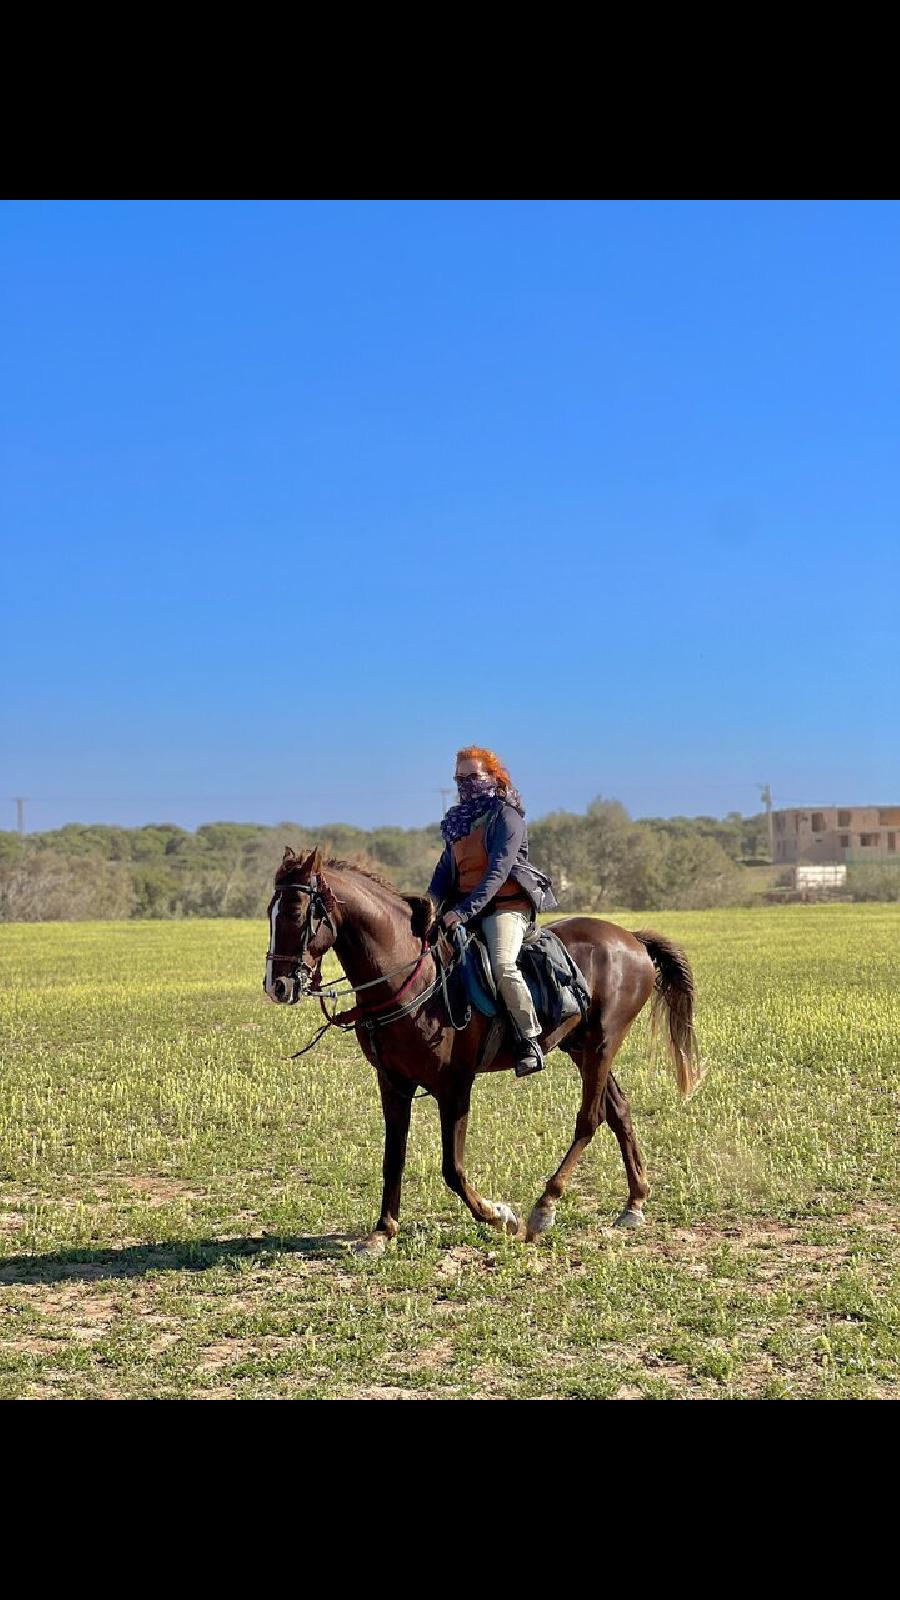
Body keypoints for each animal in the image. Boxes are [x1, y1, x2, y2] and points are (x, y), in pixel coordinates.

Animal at [262, 844, 698, 1254]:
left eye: (297, 912)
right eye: (271, 911)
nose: (277, 985)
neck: (412, 977)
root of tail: (632, 940)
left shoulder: (454, 1087)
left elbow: (452, 1169)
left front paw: (499, 1216)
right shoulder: (393, 1084)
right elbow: (393, 1158)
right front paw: (382, 1232)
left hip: (603, 1044)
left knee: (589, 1119)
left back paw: (544, 1208)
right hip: (581, 1047)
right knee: (619, 1111)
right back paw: (634, 1203)